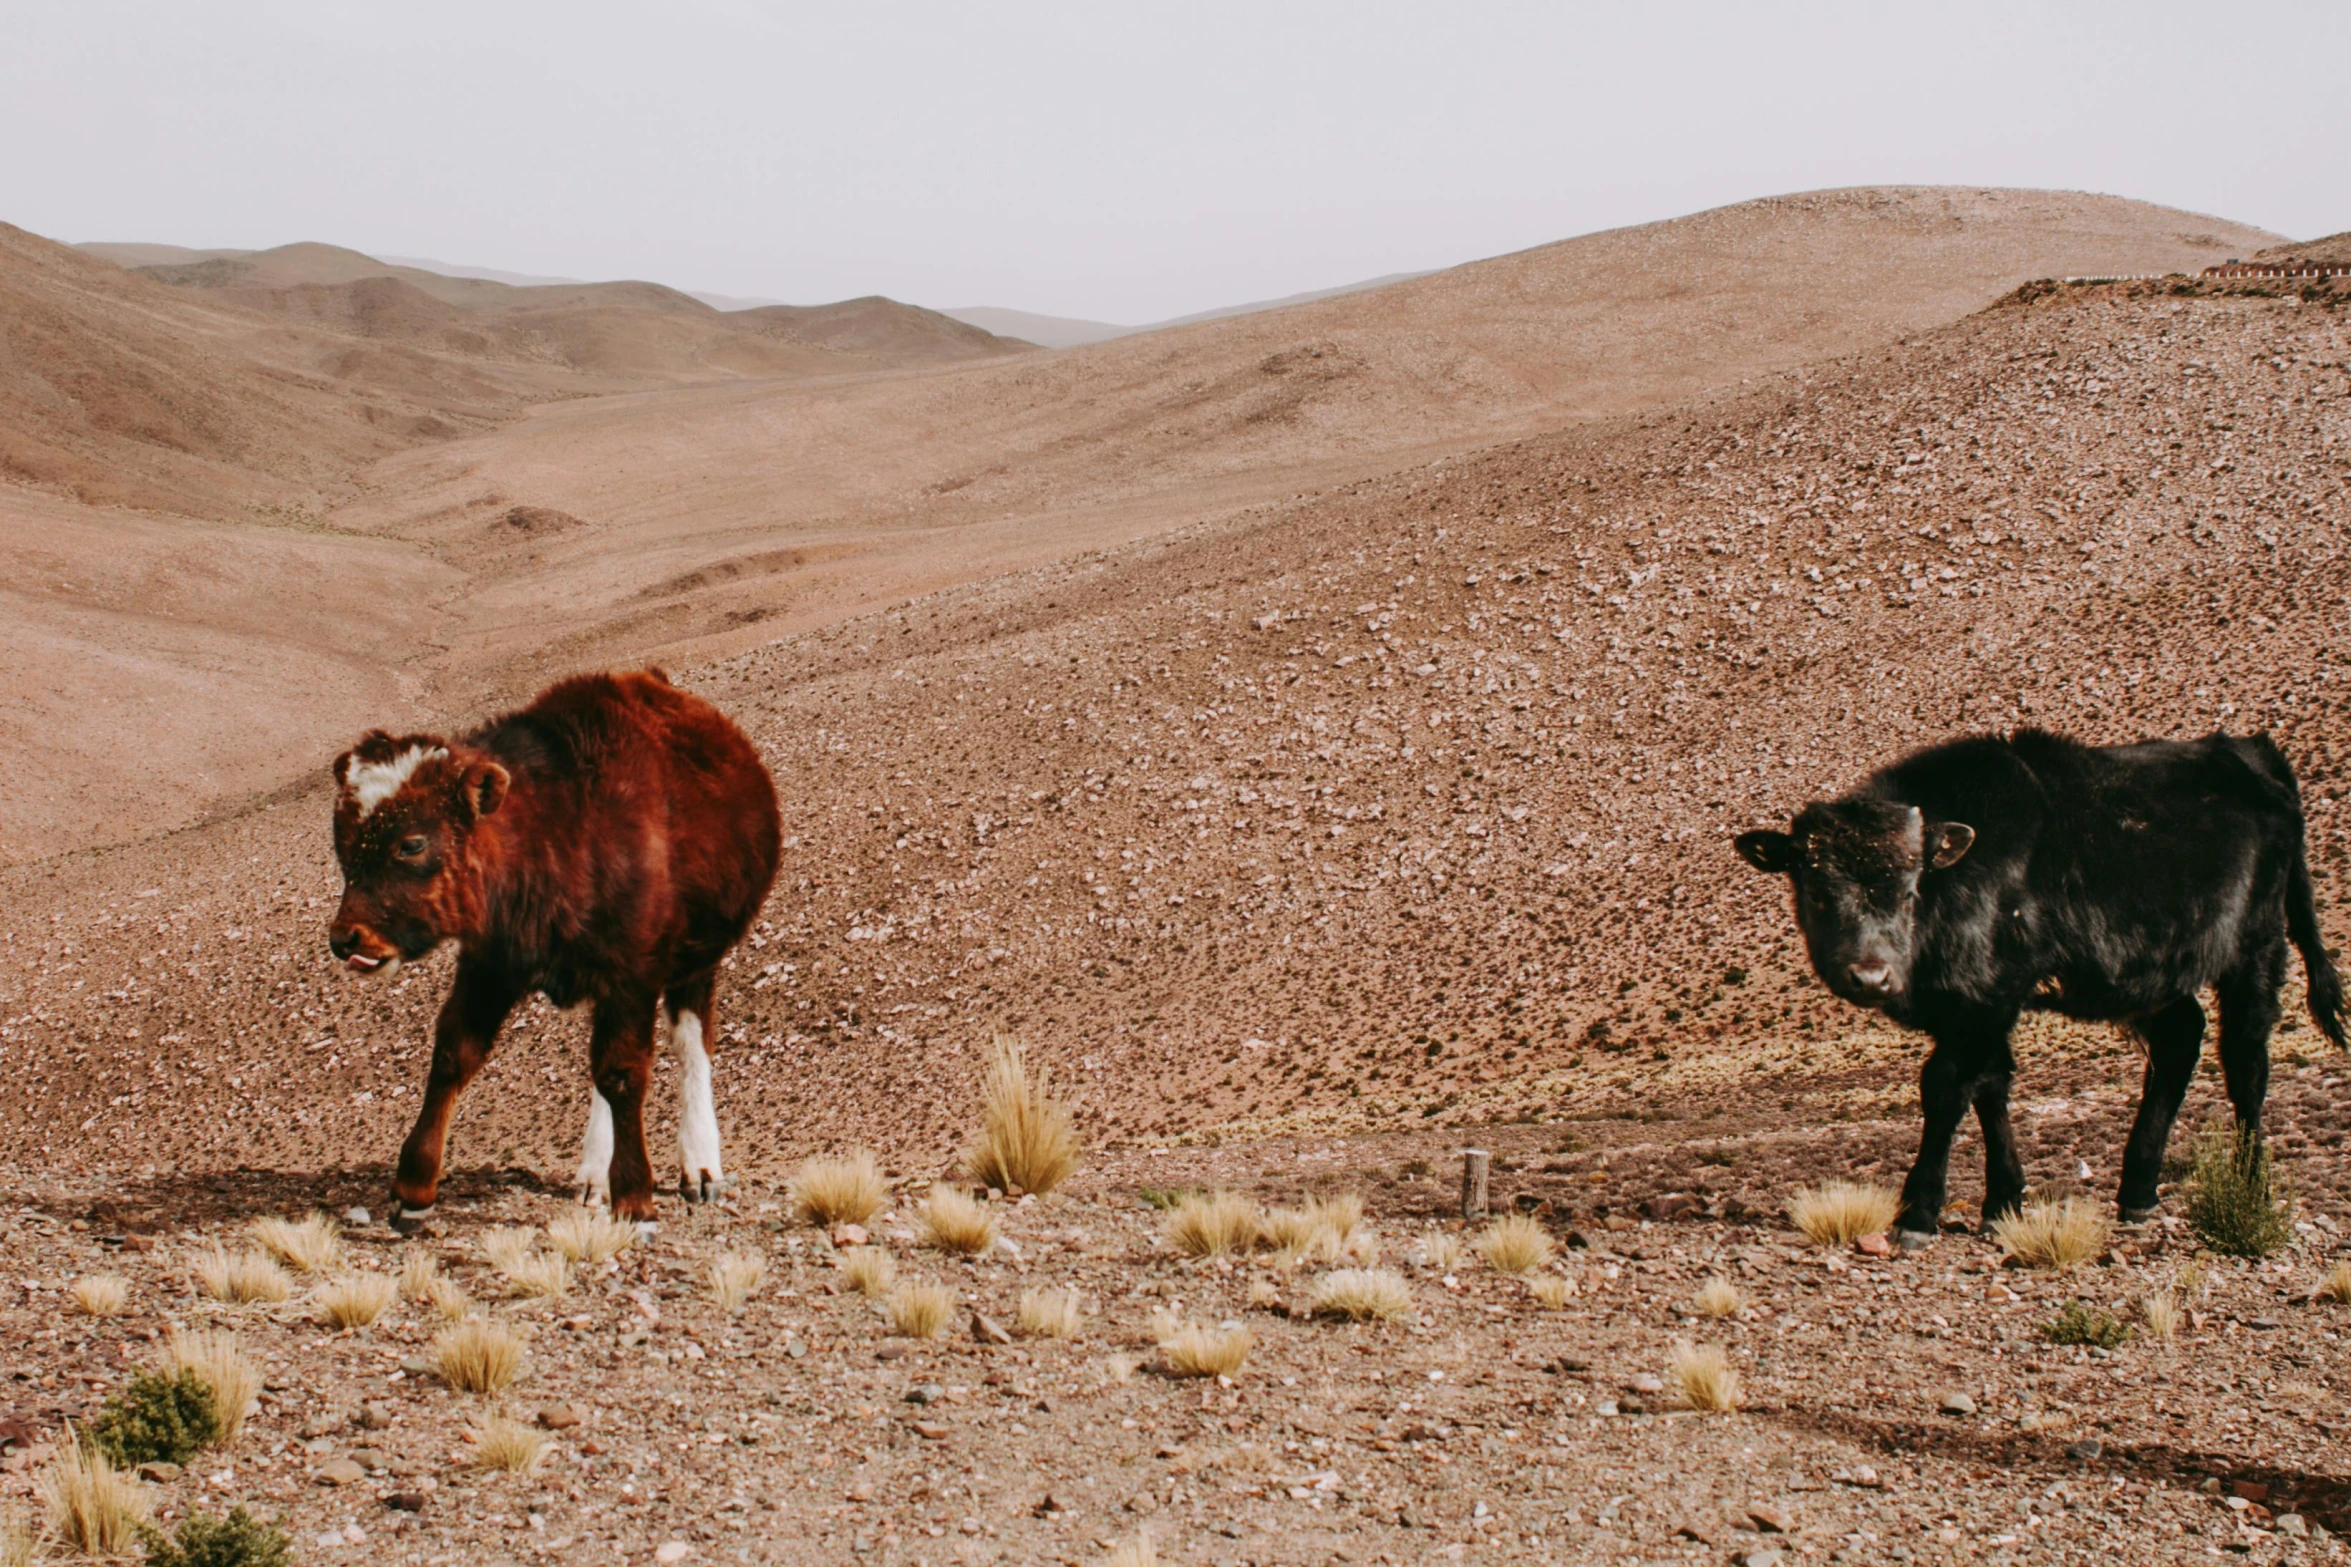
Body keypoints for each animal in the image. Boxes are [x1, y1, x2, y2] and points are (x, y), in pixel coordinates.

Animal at [326, 667, 780, 1231]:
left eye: (412, 843)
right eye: (342, 843)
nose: (347, 939)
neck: (556, 828)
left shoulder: (631, 975)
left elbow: (624, 1073)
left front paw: (636, 1200)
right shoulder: (491, 965)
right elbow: (455, 1053)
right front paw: (412, 1191)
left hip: (695, 965)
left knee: (689, 1046)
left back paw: (699, 1171)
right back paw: (592, 1179)